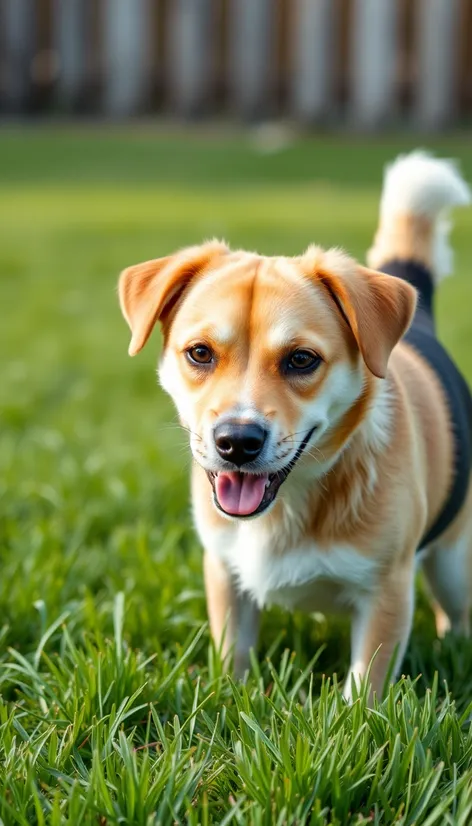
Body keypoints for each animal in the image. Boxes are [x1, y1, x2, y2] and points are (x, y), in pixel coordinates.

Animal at [119, 150, 472, 696]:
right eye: (199, 353)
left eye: (301, 360)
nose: (236, 441)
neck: (288, 503)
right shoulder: (225, 573)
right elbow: (232, 658)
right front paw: (230, 698)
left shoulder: (386, 592)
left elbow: (364, 691)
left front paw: (354, 715)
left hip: (454, 564)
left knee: (456, 614)